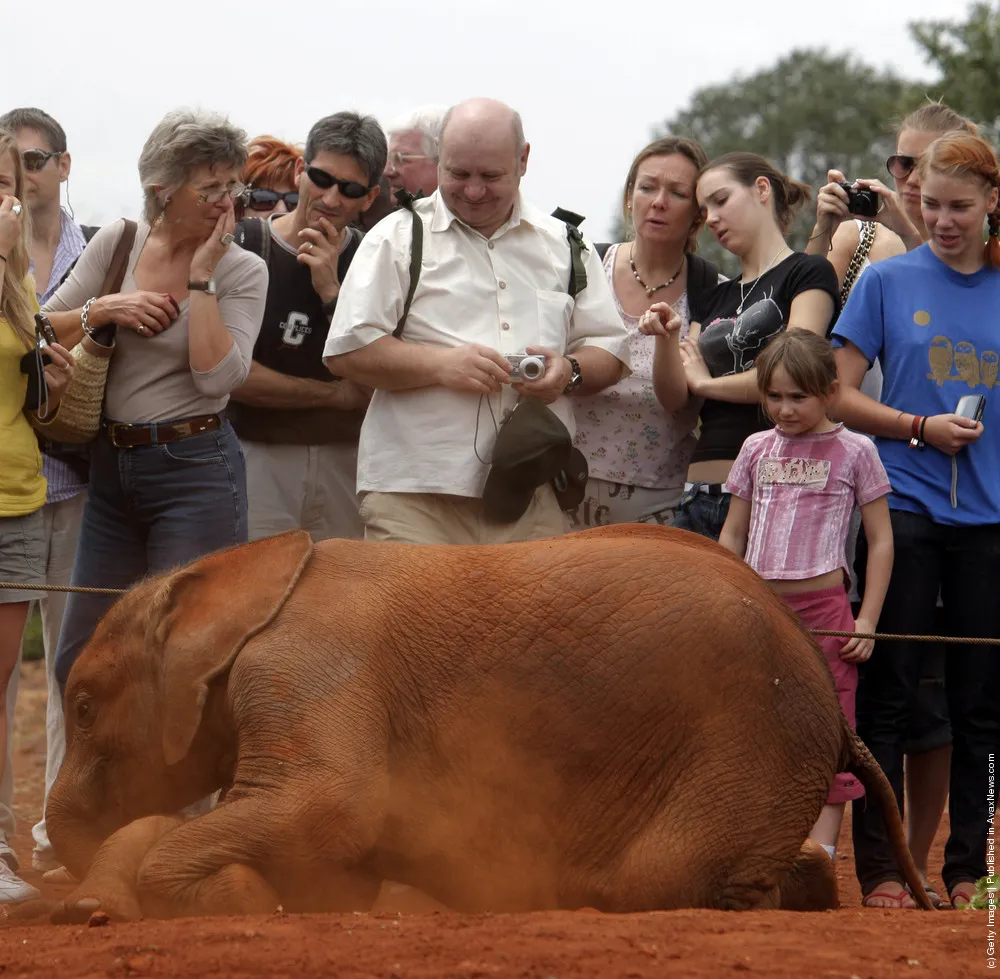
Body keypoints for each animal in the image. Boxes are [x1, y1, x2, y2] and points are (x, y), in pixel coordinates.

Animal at [18, 524, 930, 922]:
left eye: (87, 706)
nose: (62, 897)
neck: (231, 575)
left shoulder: (308, 666)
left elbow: (330, 807)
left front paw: (237, 898)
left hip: (745, 742)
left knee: (660, 881)